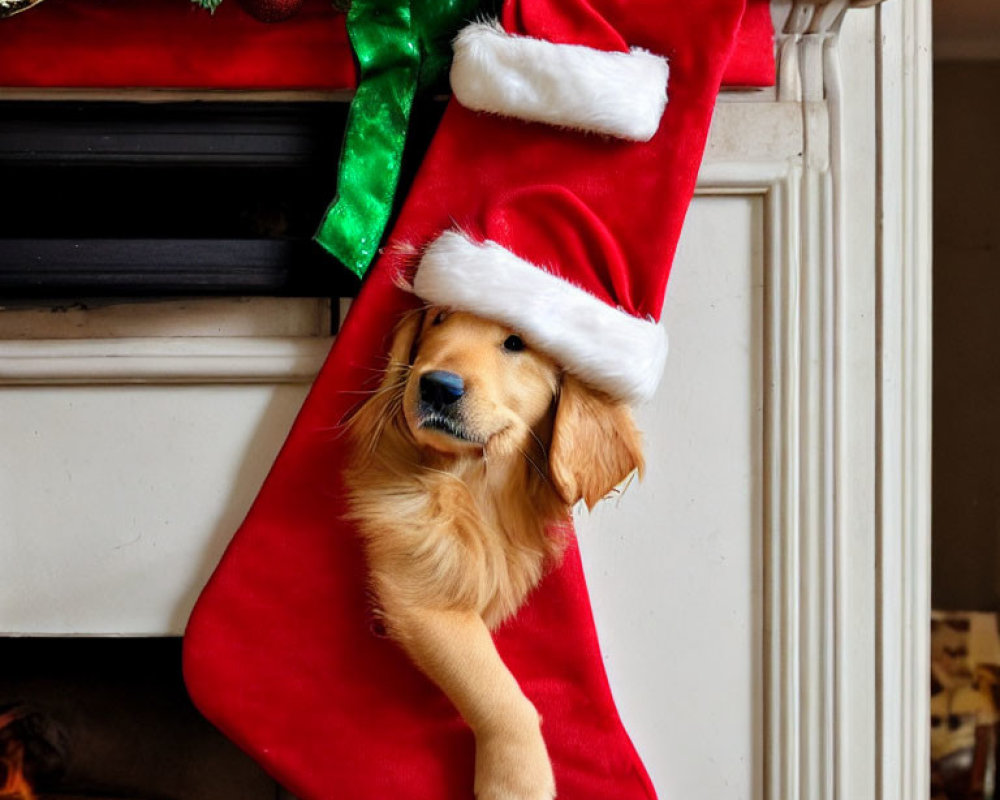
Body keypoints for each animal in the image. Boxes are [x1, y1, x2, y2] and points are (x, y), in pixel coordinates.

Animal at [346, 308, 640, 800]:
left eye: (515, 342)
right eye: (439, 318)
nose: (437, 386)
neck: (472, 484)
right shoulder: (420, 592)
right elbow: (497, 690)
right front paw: (518, 780)